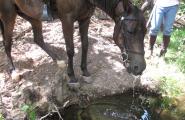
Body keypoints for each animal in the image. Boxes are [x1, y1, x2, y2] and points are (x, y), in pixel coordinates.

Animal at [0, 0, 147, 86]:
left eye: (145, 32)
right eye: (129, 31)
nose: (140, 68)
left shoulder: (85, 18)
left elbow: (85, 45)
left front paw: (85, 72)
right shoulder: (67, 20)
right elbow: (70, 49)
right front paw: (72, 77)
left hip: (30, 13)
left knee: (38, 39)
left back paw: (58, 60)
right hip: (8, 13)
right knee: (7, 43)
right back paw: (14, 72)